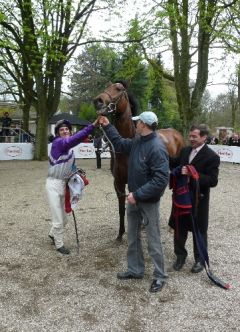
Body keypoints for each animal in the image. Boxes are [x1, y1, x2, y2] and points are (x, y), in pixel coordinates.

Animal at [93, 81, 185, 240]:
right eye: (106, 86)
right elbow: (121, 209)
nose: (98, 101)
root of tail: (177, 134)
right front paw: (120, 234)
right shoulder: (118, 183)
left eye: (119, 89)